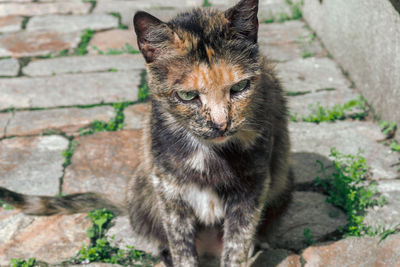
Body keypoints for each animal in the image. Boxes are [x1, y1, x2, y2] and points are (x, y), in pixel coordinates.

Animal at [0, 1, 294, 266]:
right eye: (188, 95)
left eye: (240, 87)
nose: (221, 124)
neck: (208, 155)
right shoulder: (168, 189)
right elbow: (181, 248)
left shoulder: (252, 186)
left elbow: (237, 246)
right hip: (142, 185)